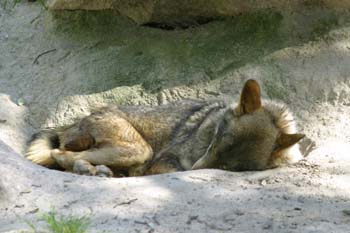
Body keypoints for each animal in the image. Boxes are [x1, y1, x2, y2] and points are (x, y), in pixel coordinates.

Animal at [26, 80, 304, 177]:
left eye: (228, 167)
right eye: (214, 143)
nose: (194, 169)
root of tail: (69, 125)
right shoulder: (163, 161)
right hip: (139, 150)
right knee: (60, 154)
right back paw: (88, 169)